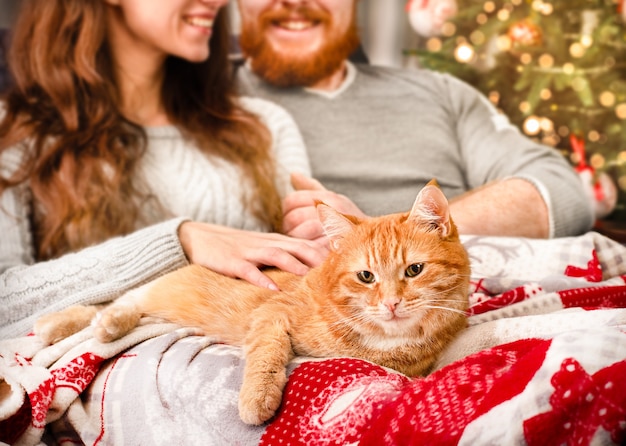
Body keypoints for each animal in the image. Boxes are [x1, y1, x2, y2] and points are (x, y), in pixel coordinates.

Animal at [35, 180, 468, 426]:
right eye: (366, 277)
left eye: (414, 270)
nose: (392, 304)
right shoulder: (272, 313)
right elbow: (267, 352)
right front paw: (258, 398)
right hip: (159, 288)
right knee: (116, 301)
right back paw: (69, 324)